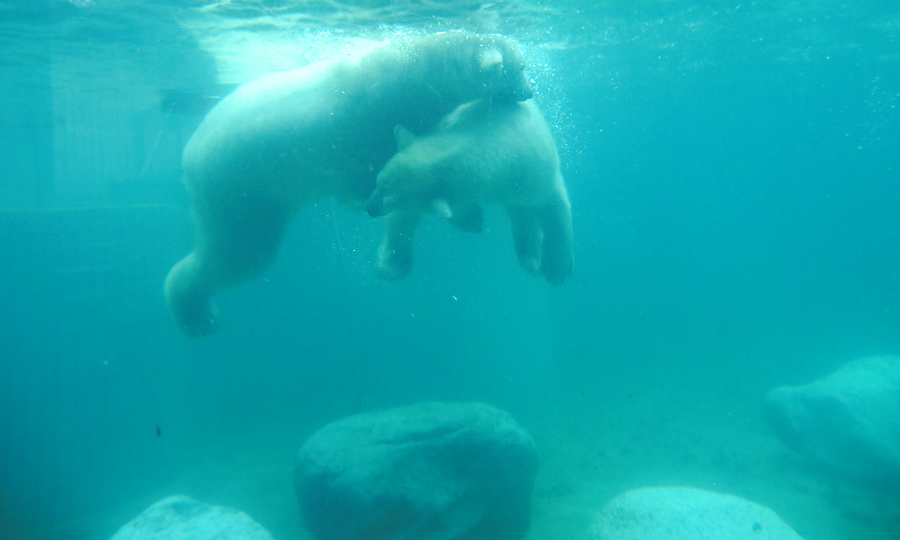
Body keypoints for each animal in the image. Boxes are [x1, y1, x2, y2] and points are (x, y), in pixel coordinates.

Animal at [164, 31, 532, 336]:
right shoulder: (369, 120)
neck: (411, 71)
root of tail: (188, 153)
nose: (530, 92)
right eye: (521, 66)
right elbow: (372, 175)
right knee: (241, 254)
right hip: (238, 187)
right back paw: (197, 315)